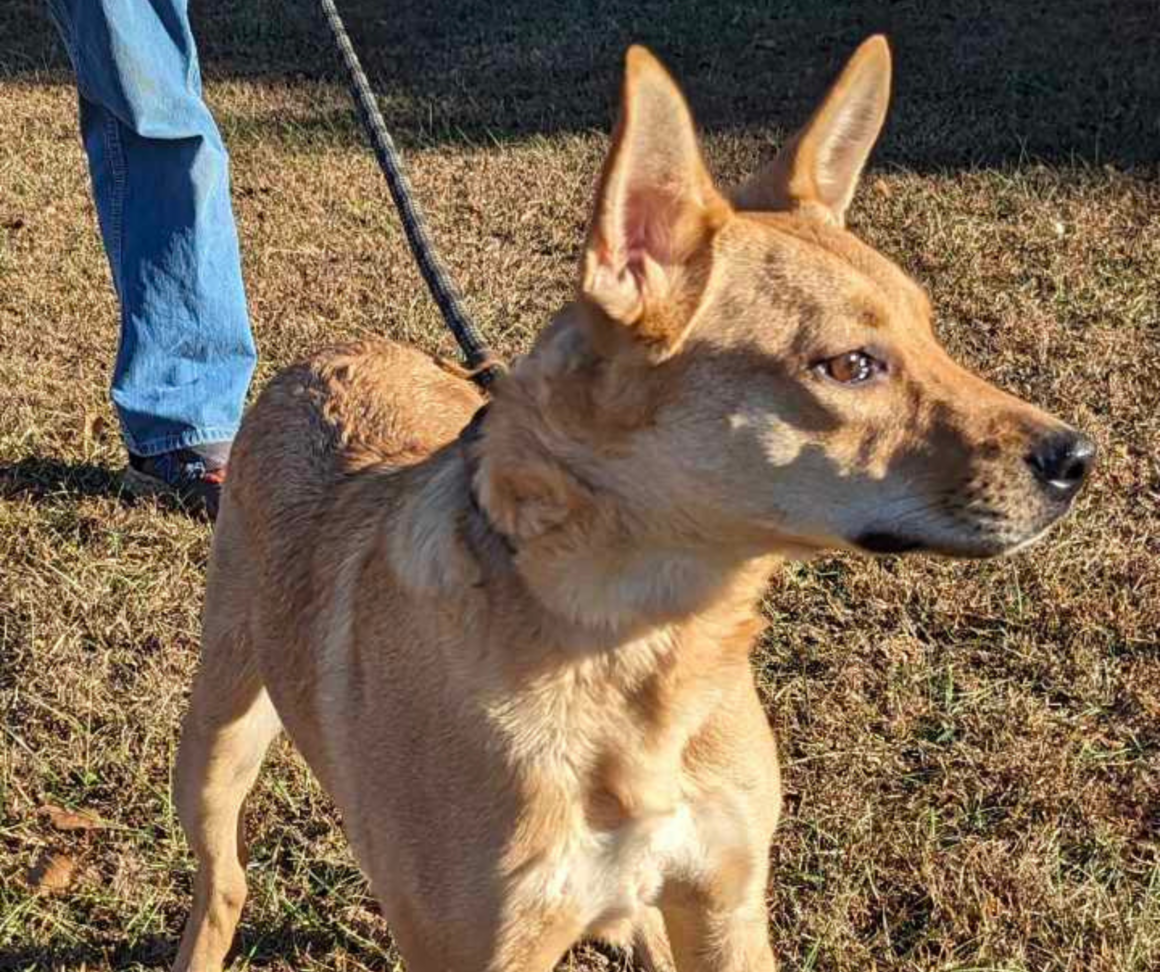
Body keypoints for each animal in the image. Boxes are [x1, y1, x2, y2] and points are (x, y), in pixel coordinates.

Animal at [169, 37, 1085, 972]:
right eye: (851, 366)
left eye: (931, 334)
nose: (1076, 459)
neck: (640, 655)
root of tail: (329, 354)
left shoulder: (727, 907)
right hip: (217, 738)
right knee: (225, 881)